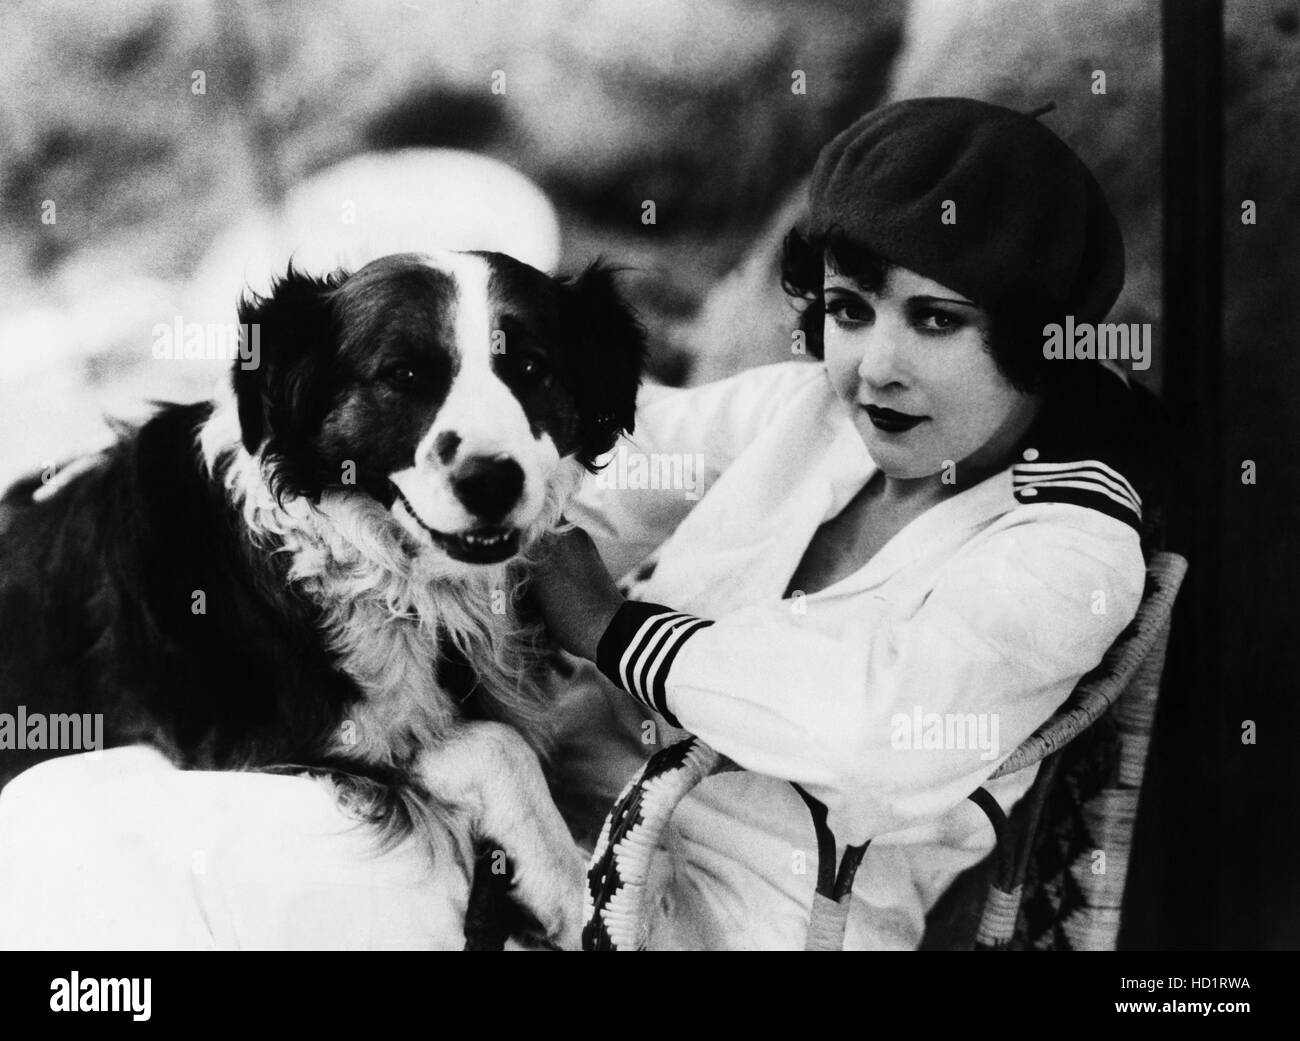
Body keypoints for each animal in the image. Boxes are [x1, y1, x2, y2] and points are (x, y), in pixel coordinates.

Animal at [0, 248, 647, 946]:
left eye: (530, 367)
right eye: (404, 374)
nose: (491, 481)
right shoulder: (262, 747)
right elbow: (494, 742)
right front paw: (567, 887)